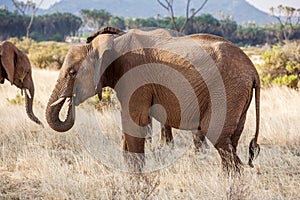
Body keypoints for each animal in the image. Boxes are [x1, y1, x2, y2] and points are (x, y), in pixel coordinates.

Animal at [46, 25, 260, 171]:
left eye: (72, 73)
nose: (70, 101)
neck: (111, 42)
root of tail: (253, 70)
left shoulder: (134, 76)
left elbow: (134, 121)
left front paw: (136, 177)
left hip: (227, 90)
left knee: (218, 136)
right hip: (238, 95)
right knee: (231, 140)